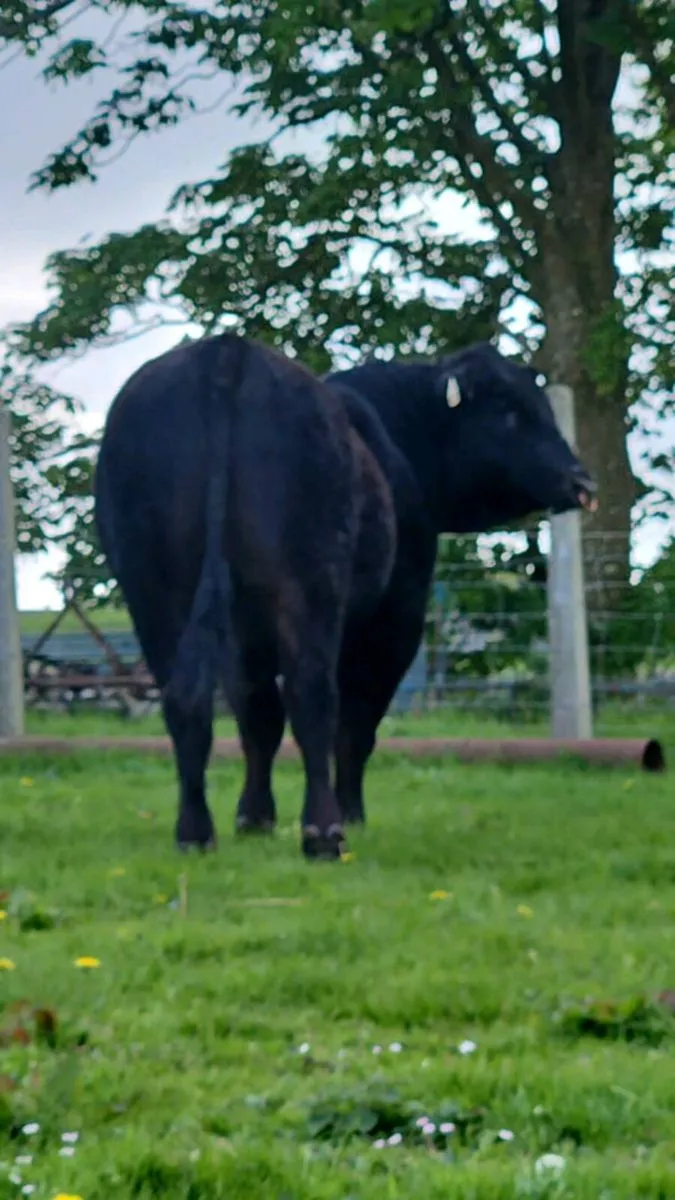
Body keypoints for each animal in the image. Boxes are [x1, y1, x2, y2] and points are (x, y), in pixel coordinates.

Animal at [95, 332, 397, 860]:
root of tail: (226, 349)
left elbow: (256, 712)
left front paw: (253, 817)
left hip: (151, 585)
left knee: (186, 698)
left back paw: (194, 832)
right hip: (310, 574)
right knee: (312, 694)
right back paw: (323, 833)